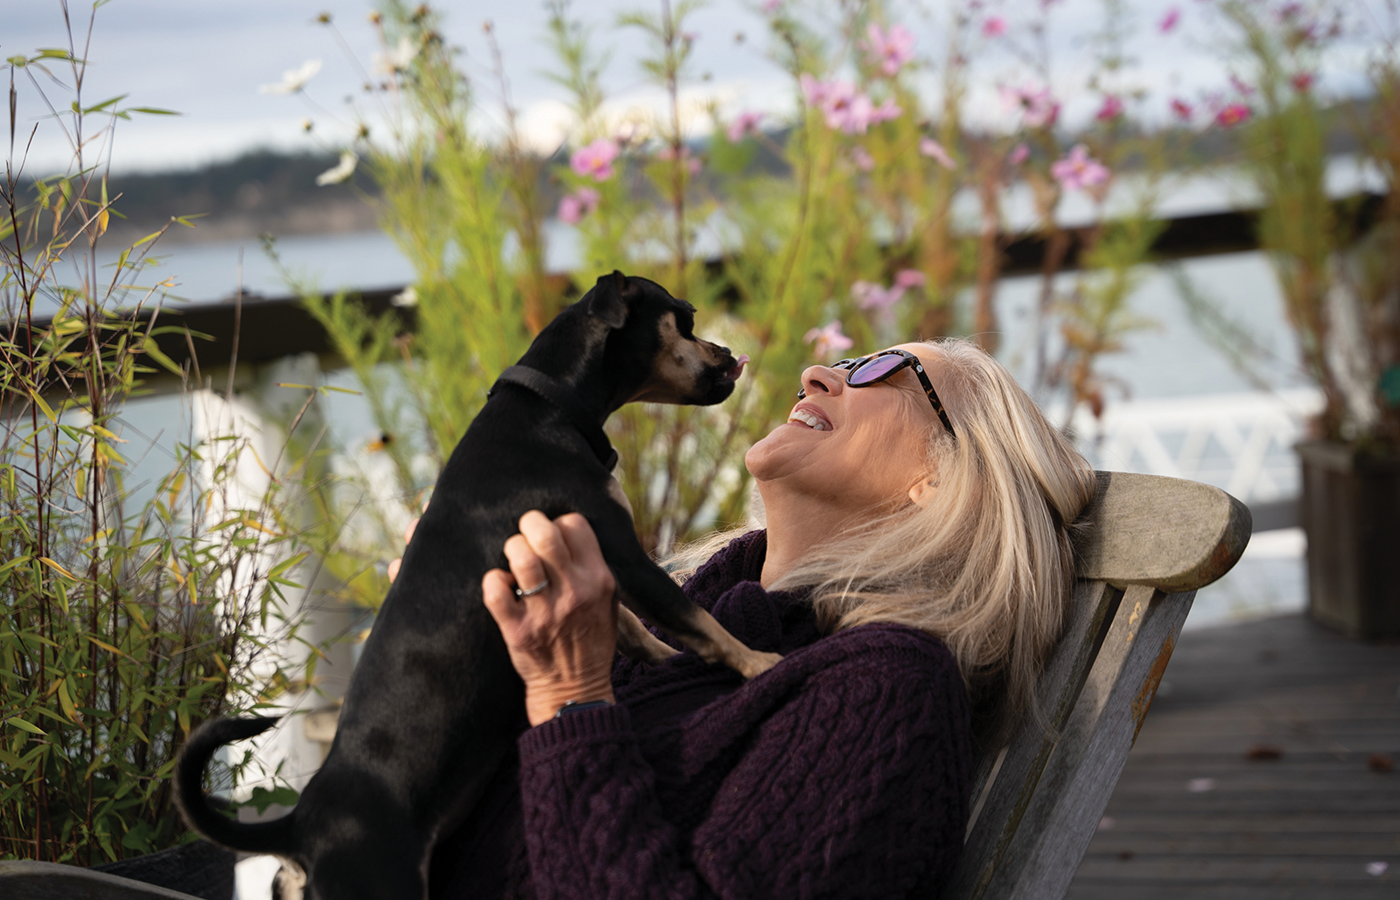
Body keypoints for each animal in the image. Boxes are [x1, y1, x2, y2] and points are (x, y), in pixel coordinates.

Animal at [175, 272, 784, 900]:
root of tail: (298, 830)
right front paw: (760, 663)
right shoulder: (625, 556)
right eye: (684, 318)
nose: (728, 354)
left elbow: (638, 632)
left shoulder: (596, 565)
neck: (548, 410)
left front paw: (669, 664)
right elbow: (694, 618)